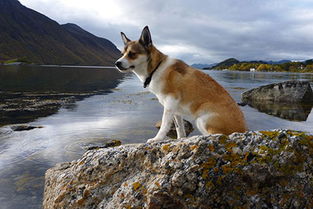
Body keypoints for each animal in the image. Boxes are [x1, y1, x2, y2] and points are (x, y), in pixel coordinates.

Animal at [114, 26, 246, 143]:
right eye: (122, 53)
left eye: (132, 54)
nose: (117, 63)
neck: (156, 68)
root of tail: (244, 130)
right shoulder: (175, 109)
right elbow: (179, 127)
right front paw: (180, 139)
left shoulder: (170, 103)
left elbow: (164, 125)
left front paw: (157, 139)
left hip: (202, 120)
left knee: (217, 136)